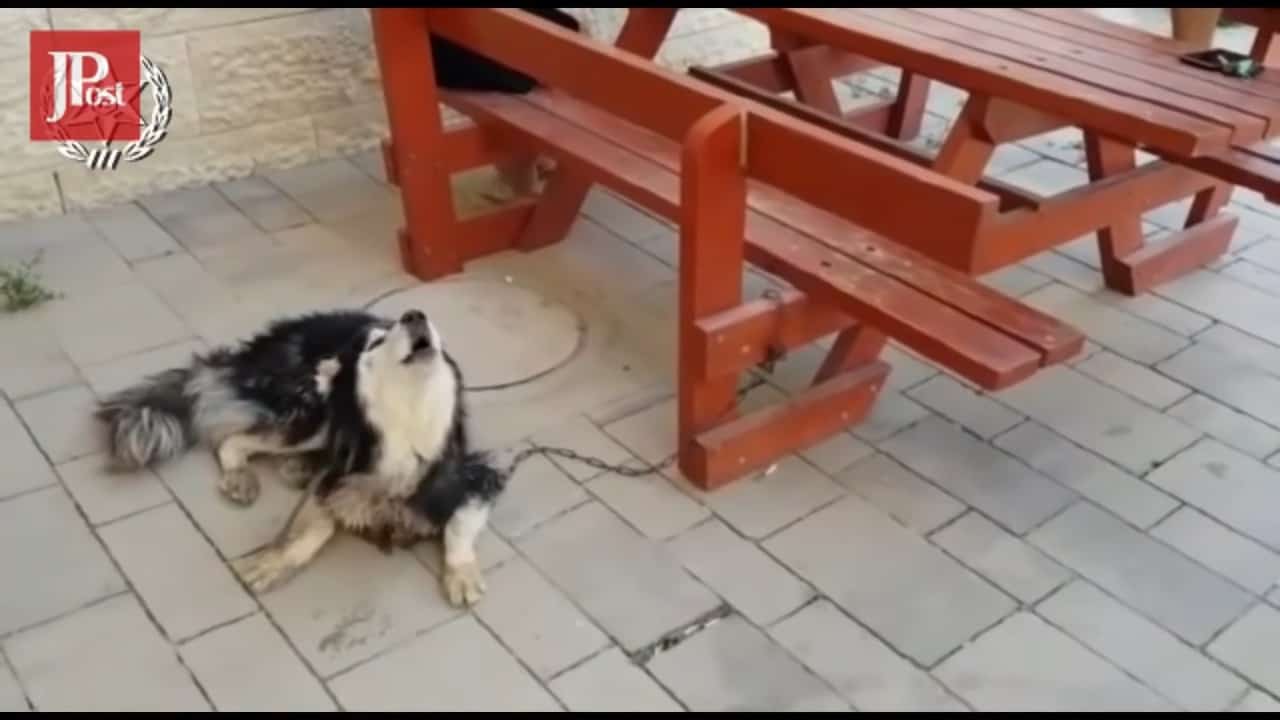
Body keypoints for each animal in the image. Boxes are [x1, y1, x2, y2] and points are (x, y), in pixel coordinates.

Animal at [96, 308, 504, 604]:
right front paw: (282, 557)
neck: (409, 422)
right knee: (234, 440)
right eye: (375, 343)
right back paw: (244, 474)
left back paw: (298, 468)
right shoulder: (341, 470)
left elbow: (457, 524)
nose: (415, 315)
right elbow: (319, 525)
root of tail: (259, 347)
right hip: (313, 408)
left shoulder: (478, 473)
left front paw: (461, 571)